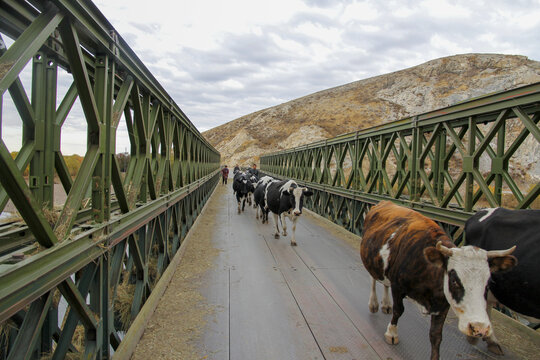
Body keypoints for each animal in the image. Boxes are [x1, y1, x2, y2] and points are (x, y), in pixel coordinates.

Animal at [360, 201, 516, 358]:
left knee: (385, 283)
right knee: (374, 279)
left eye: (488, 283)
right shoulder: (398, 286)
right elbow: (399, 310)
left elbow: (436, 335)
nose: (479, 327)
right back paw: (373, 304)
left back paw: (386, 304)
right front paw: (391, 333)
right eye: (454, 280)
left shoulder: (443, 305)